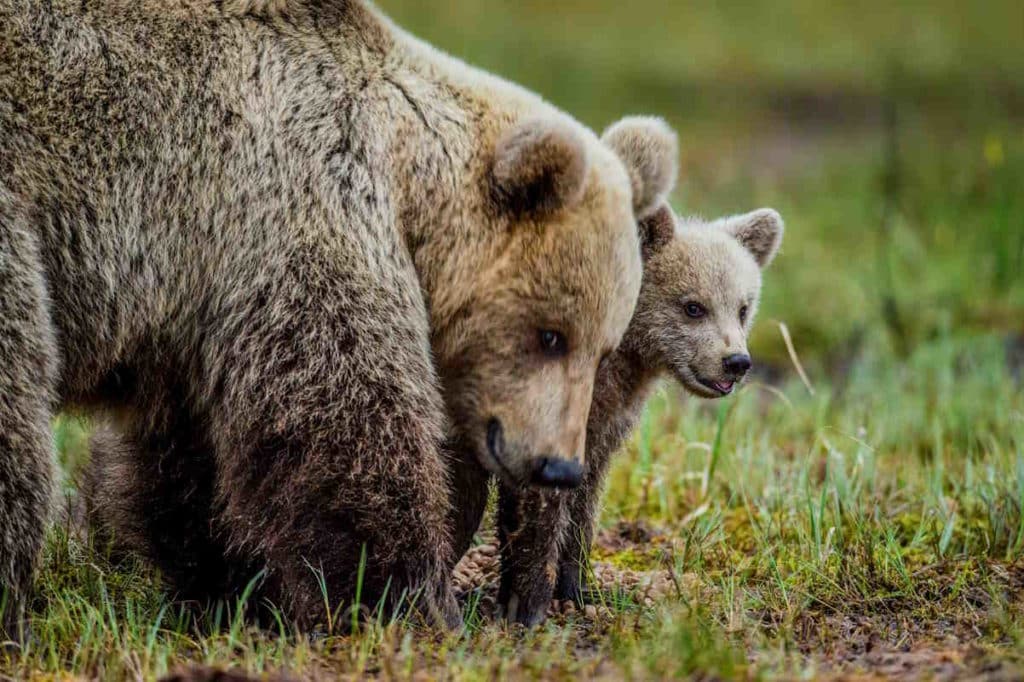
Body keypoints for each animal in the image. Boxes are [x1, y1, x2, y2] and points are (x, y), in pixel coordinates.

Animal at [0, 0, 677, 636]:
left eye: (604, 347)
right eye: (552, 335)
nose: (558, 465)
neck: (409, 186)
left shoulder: (197, 300)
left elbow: (192, 458)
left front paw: (237, 586)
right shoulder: (294, 200)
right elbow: (346, 418)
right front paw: (410, 601)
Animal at [457, 202, 785, 625]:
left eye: (743, 307)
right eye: (693, 306)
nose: (736, 362)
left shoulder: (606, 418)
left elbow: (585, 498)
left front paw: (578, 589)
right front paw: (527, 605)